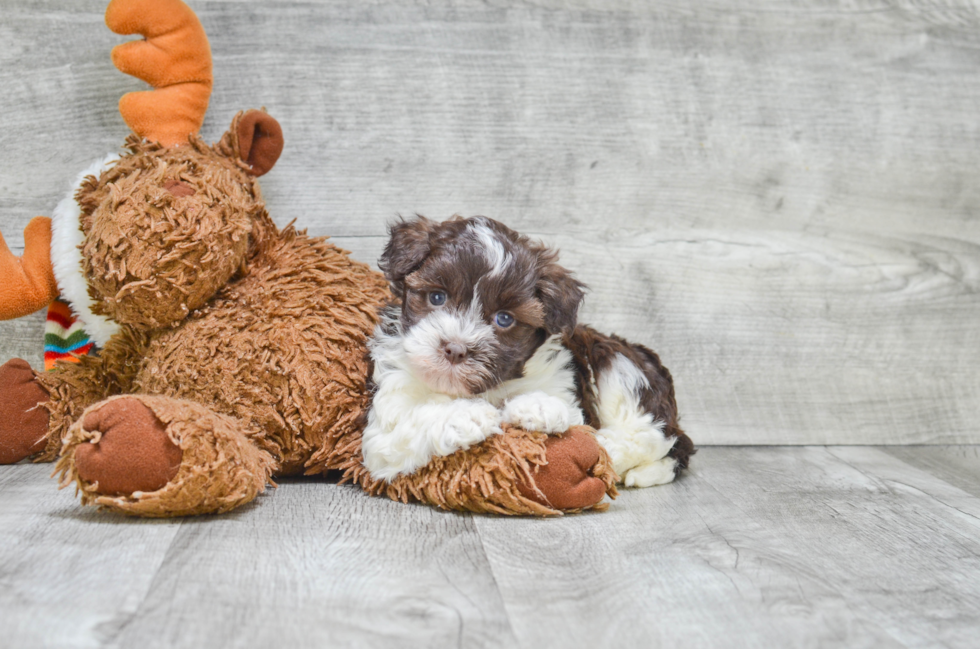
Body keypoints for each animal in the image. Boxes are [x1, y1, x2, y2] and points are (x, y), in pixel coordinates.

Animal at [362, 214, 696, 486]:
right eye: (436, 297)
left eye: (504, 319)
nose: (456, 350)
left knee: (659, 436)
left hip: (621, 366)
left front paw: (538, 406)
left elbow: (570, 415)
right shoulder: (383, 429)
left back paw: (614, 450)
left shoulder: (566, 383)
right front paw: (464, 415)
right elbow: (406, 423)